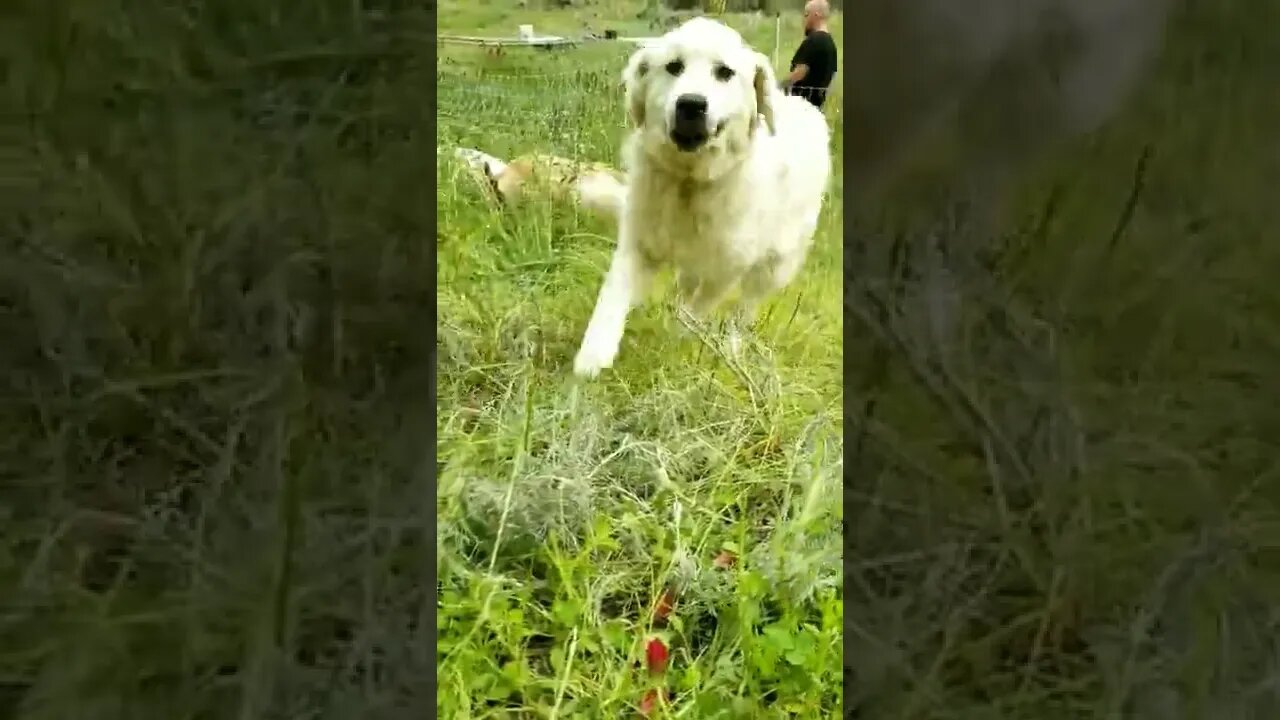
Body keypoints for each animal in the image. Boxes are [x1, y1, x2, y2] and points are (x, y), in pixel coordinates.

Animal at [570, 16, 829, 376]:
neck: (690, 183)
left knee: (742, 312)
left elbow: (696, 310)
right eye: (673, 67)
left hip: (773, 266)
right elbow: (613, 294)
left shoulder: (727, 267)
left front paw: (679, 342)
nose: (691, 104)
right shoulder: (639, 240)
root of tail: (807, 107)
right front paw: (593, 357)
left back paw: (732, 348)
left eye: (724, 72)